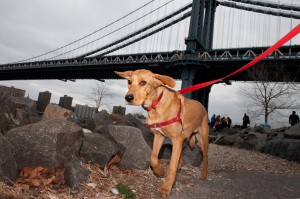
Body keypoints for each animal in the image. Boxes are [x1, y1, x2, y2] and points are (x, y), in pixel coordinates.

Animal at [115, 69, 209, 197]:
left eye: (143, 82)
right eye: (129, 82)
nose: (128, 97)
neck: (156, 104)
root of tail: (202, 106)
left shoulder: (176, 139)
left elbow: (172, 167)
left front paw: (166, 188)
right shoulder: (159, 136)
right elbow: (153, 158)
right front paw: (159, 171)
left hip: (202, 140)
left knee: (206, 157)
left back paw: (204, 173)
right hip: (183, 139)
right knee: (180, 156)